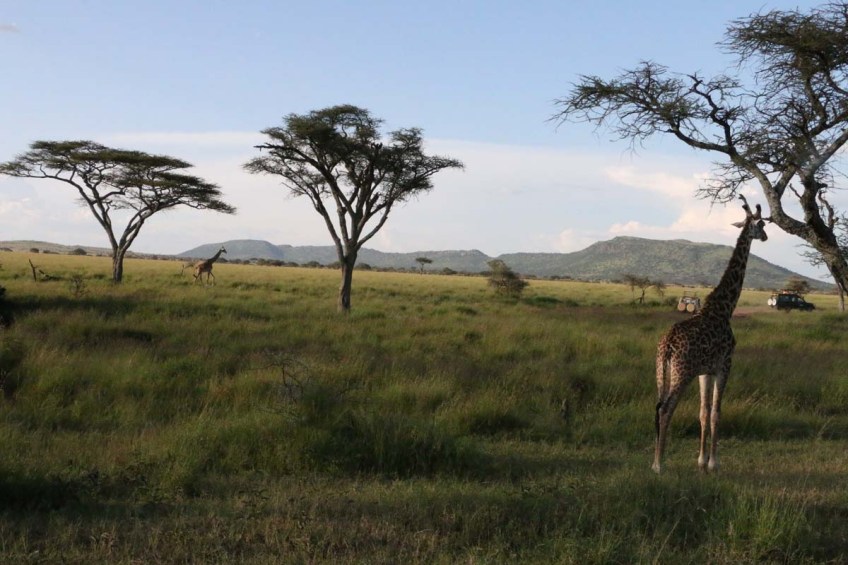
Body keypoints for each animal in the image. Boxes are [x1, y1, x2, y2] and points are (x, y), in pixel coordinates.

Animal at [652, 196, 768, 474]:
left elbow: (703, 412)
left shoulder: (705, 371)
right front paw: (714, 463)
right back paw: (659, 464)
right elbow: (716, 412)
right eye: (761, 224)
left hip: (661, 370)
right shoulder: (725, 365)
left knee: (658, 405)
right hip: (682, 373)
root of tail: (667, 344)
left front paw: (701, 460)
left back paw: (654, 459)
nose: (766, 236)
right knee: (666, 409)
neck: (725, 307)